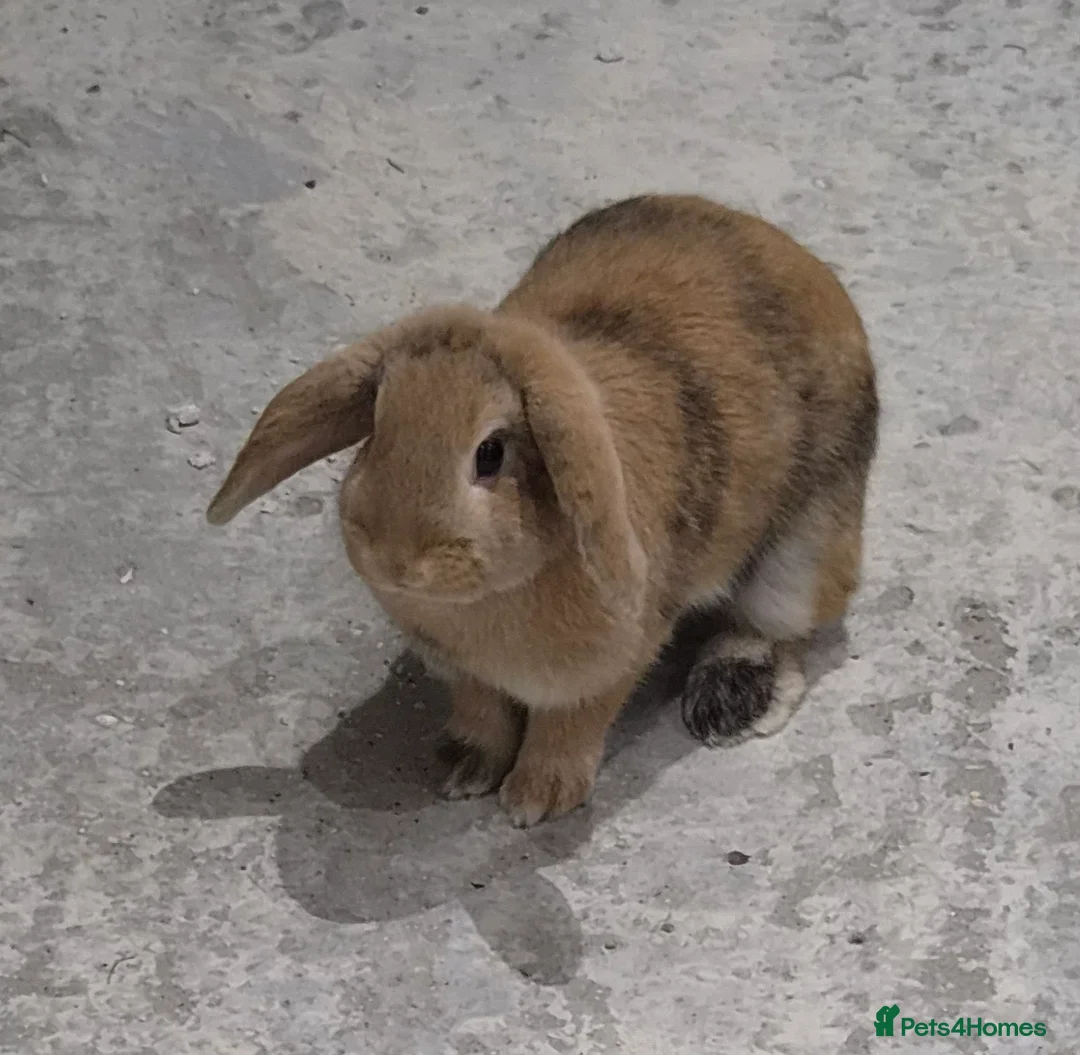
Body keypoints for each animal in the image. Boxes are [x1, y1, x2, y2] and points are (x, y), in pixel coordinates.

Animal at [205, 194, 878, 827]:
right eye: (376, 424)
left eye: (491, 453)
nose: (394, 558)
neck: (489, 600)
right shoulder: (466, 671)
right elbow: (482, 709)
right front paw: (463, 769)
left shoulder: (605, 669)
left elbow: (571, 725)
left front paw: (536, 800)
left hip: (803, 549)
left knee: (776, 626)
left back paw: (731, 704)